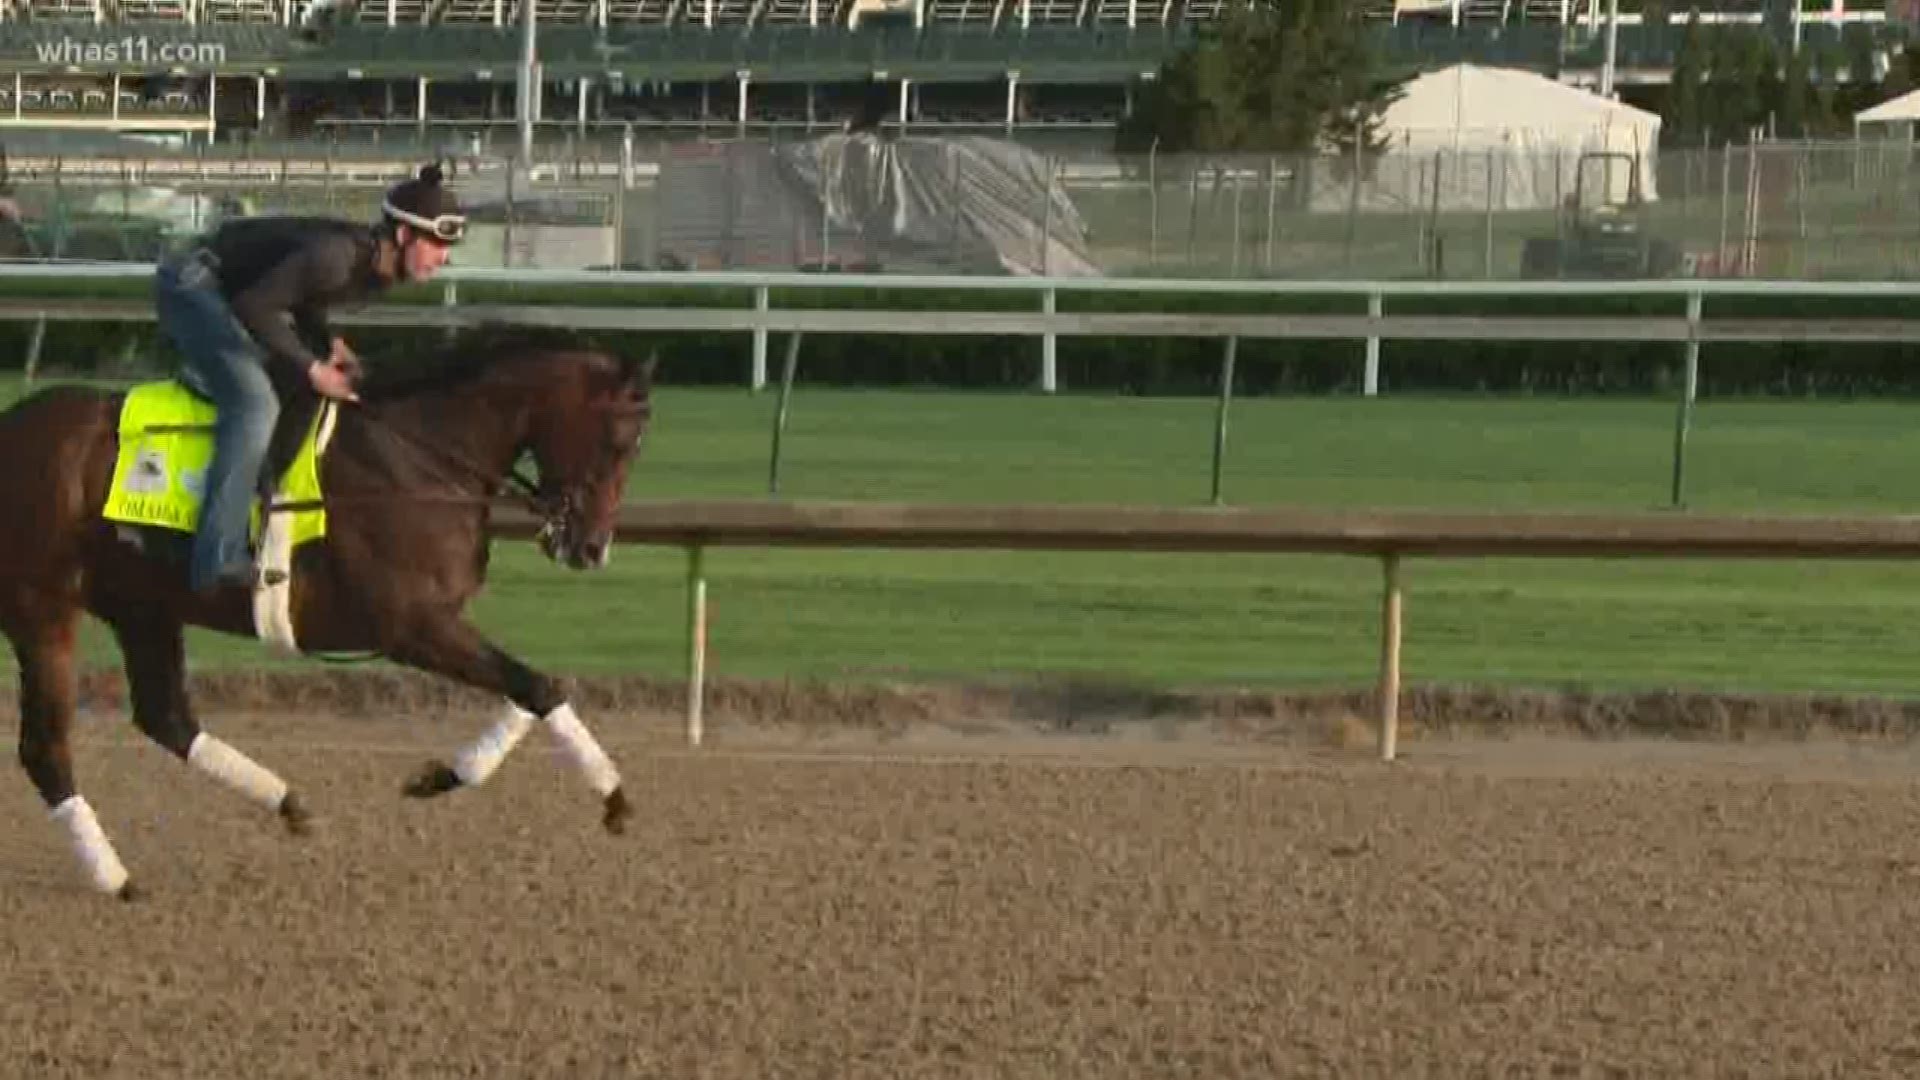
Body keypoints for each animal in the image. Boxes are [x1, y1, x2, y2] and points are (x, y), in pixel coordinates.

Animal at [0, 319, 656, 891]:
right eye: (619, 441)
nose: (591, 547)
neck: (418, 458)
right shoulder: (412, 626)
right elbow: (538, 687)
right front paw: (615, 798)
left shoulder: (436, 623)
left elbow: (534, 686)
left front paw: (441, 777)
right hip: (43, 606)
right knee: (46, 748)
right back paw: (115, 878)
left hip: (142, 605)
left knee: (166, 719)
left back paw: (289, 804)